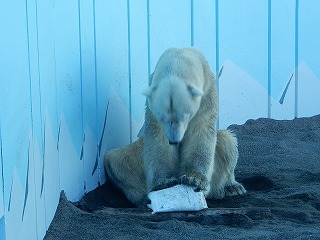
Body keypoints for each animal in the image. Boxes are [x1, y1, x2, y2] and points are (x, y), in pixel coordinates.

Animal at [104, 47, 246, 206]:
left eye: (185, 115)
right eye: (162, 116)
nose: (174, 140)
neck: (179, 58)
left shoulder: (208, 94)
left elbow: (201, 132)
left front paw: (194, 178)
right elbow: (158, 138)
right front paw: (164, 183)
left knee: (227, 140)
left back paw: (232, 187)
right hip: (136, 155)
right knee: (116, 160)